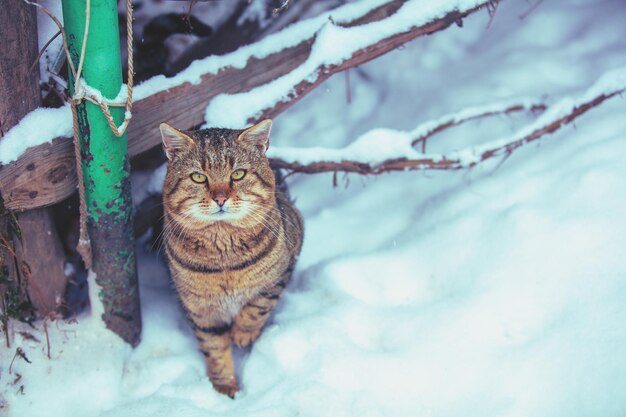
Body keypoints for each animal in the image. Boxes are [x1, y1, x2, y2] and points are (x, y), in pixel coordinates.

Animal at [160, 118, 304, 396]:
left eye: (238, 174)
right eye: (198, 177)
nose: (220, 198)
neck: (224, 257)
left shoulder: (282, 270)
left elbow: (258, 306)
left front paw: (242, 334)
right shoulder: (199, 308)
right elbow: (213, 346)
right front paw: (224, 386)